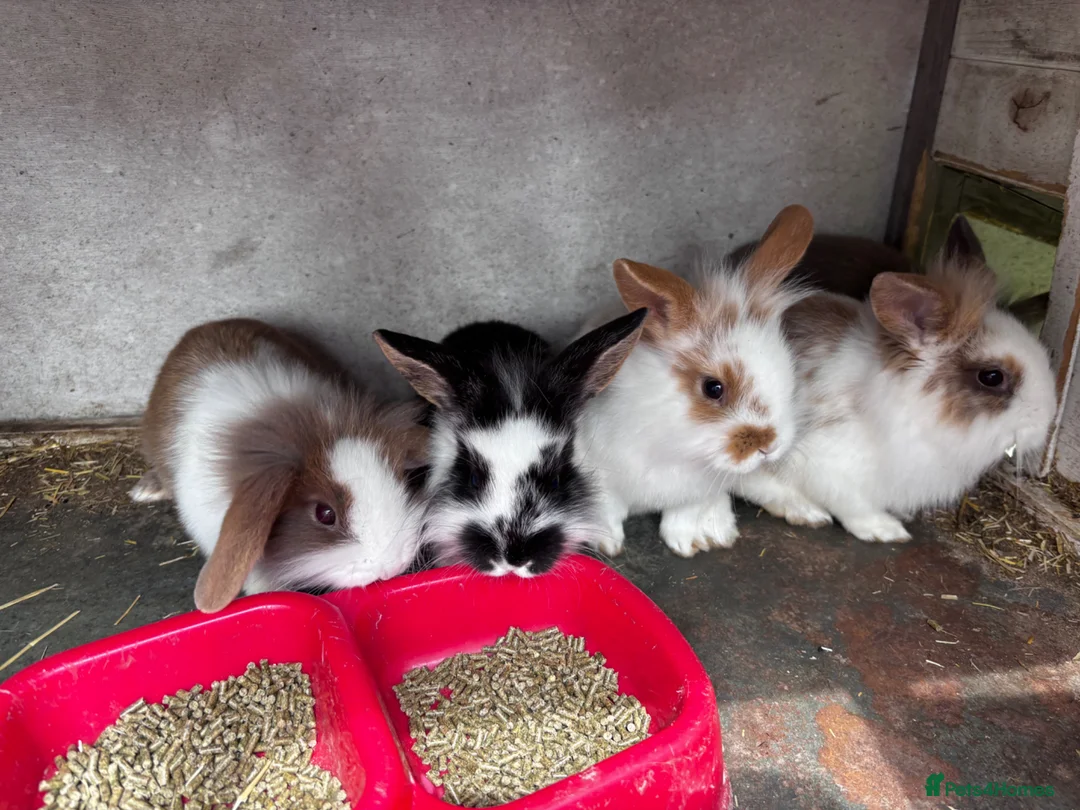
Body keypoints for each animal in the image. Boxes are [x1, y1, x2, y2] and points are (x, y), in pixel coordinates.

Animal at [131, 318, 430, 612]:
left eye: (404, 482)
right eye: (325, 514)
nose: (393, 566)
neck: (310, 430)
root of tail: (206, 326)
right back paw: (144, 490)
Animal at [575, 205, 816, 557]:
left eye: (788, 371)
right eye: (713, 388)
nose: (769, 446)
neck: (677, 445)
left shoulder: (697, 489)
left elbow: (685, 512)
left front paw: (691, 544)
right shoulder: (596, 472)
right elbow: (606, 510)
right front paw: (606, 543)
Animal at [733, 216, 1057, 542]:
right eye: (991, 377)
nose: (1046, 423)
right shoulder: (826, 465)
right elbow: (852, 506)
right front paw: (886, 530)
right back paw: (804, 511)